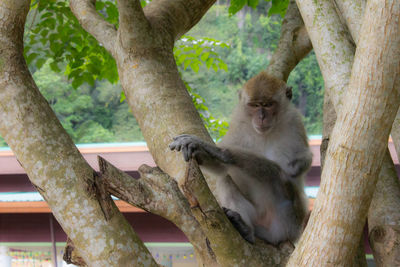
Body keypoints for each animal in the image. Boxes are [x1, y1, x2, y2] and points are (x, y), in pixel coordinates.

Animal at [169, 72, 312, 246]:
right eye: (254, 105)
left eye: (268, 104)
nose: (261, 116)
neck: (264, 134)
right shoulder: (239, 124)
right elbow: (222, 169)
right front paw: (198, 151)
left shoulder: (294, 123)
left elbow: (288, 170)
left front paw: (217, 150)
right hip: (257, 217)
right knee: (225, 179)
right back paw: (245, 228)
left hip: (289, 222)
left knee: (285, 184)